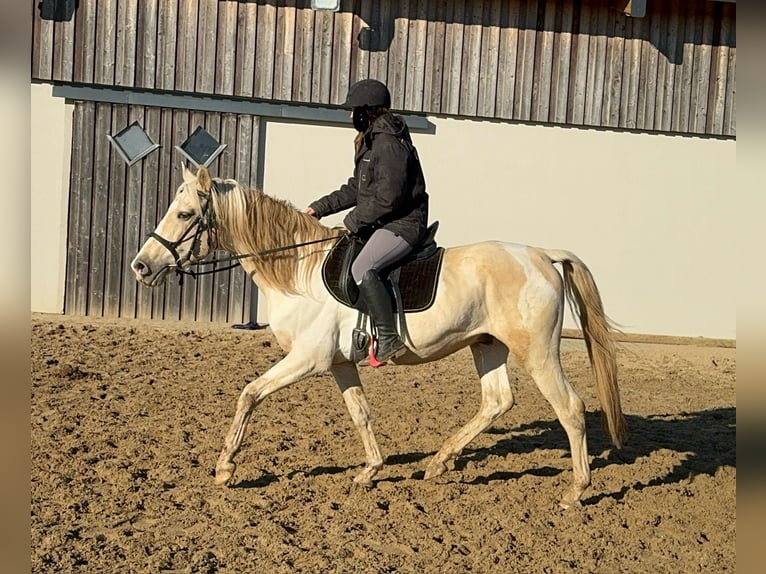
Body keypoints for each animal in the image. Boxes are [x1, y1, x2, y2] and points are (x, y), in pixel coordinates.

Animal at [132, 164, 628, 510]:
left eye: (185, 214)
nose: (141, 266)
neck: (298, 271)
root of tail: (543, 255)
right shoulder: (338, 363)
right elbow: (361, 414)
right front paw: (370, 470)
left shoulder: (307, 360)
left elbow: (249, 394)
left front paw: (225, 468)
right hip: (487, 346)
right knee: (496, 401)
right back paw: (439, 461)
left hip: (537, 351)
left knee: (569, 408)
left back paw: (576, 491)